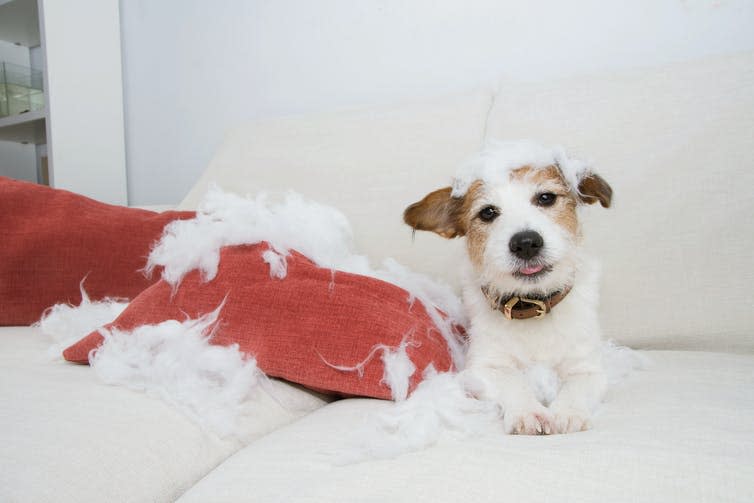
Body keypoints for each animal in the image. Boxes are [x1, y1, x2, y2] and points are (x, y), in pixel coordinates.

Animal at [402, 140, 608, 436]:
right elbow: (512, 381)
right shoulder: (484, 366)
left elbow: (576, 387)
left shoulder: (589, 369)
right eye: (488, 212)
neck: (533, 308)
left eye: (546, 198)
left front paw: (567, 413)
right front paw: (528, 412)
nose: (526, 243)